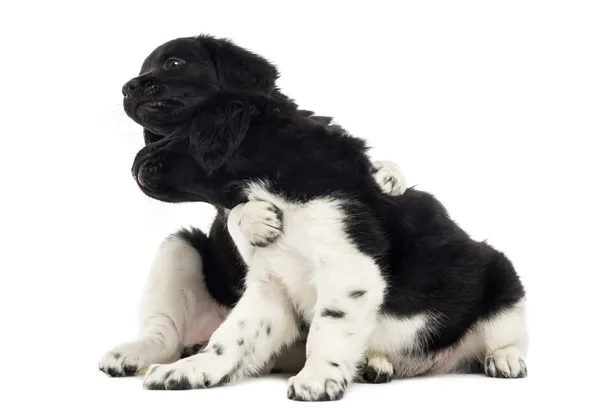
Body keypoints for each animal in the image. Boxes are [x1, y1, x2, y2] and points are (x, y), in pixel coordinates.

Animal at [101, 35, 528, 400]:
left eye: (184, 127)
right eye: (154, 135)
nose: (135, 164)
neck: (272, 181)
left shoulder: (348, 266)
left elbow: (329, 323)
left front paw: (319, 377)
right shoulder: (272, 284)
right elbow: (234, 334)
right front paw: (193, 370)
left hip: (502, 278)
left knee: (505, 332)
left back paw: (503, 358)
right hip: (180, 248)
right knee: (166, 331)